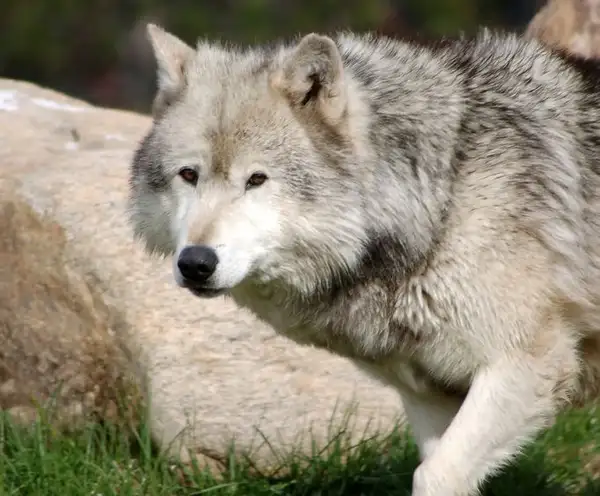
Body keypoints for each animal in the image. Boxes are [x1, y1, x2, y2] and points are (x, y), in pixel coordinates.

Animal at [130, 24, 600, 496]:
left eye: (257, 180)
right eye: (189, 175)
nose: (195, 263)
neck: (442, 202)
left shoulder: (526, 365)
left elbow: (433, 474)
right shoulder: (430, 395)